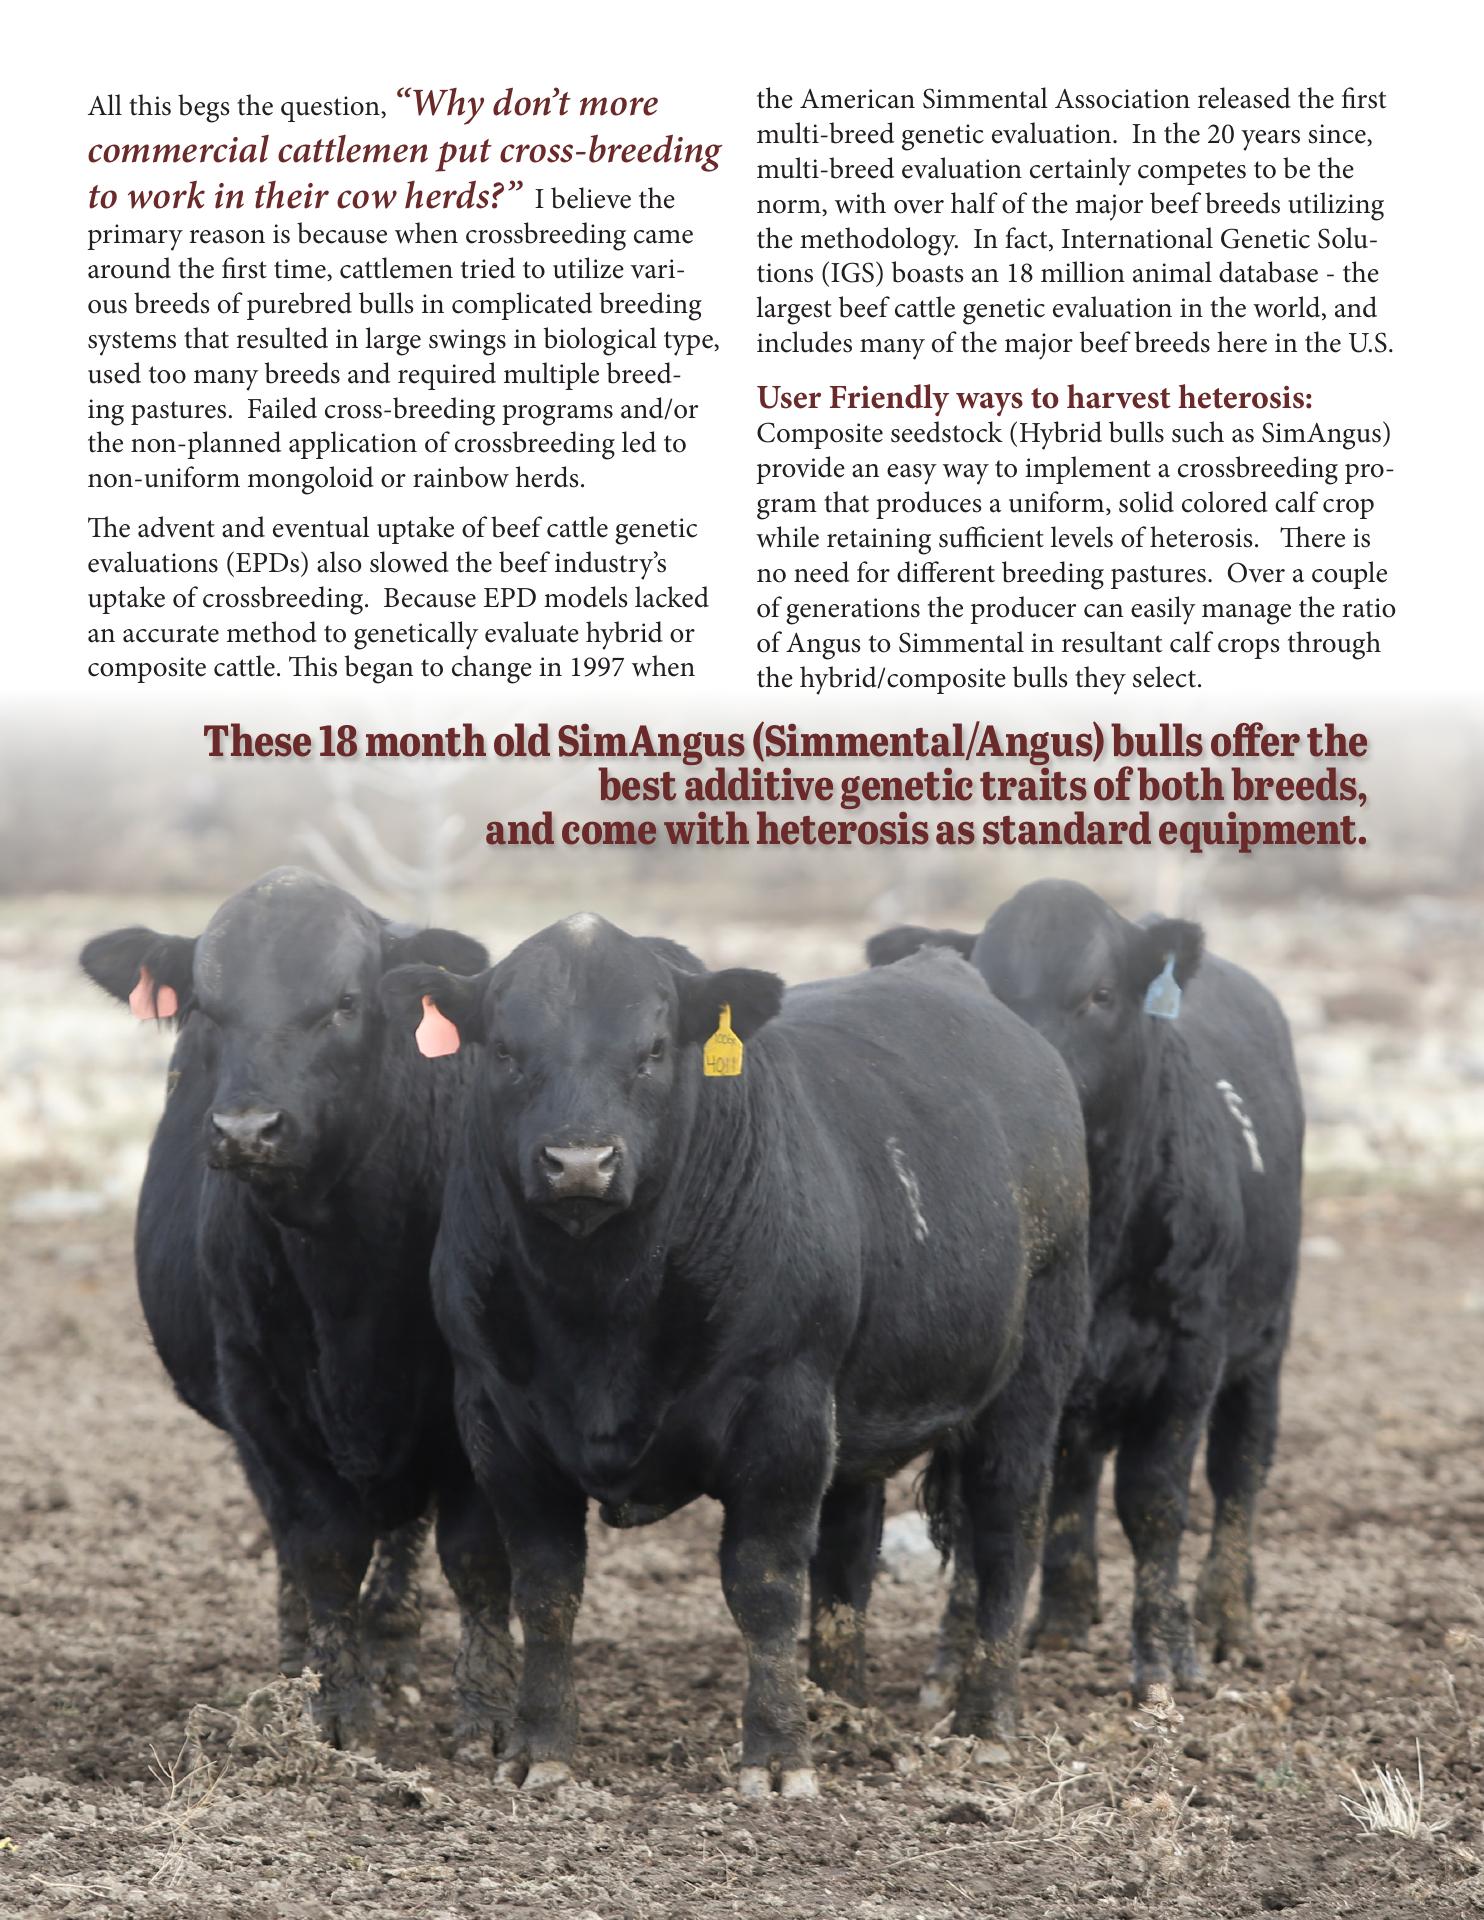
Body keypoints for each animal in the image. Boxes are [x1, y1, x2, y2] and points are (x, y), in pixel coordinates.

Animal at [80, 868, 514, 1752]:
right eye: (206, 1006)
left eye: (345, 1001)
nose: (248, 1129)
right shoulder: (256, 1392)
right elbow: (322, 1548)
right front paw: (332, 1709)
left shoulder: (474, 1393)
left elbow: (475, 1553)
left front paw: (486, 1718)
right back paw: (300, 1656)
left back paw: (394, 1640)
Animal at [381, 912, 1089, 1796]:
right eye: (505, 1050)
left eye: (653, 1048)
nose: (579, 1161)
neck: (600, 1311)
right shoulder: (497, 1419)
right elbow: (545, 1586)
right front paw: (539, 1746)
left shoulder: (781, 1410)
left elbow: (764, 1584)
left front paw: (778, 1756)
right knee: (848, 1555)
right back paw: (840, 1707)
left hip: (1031, 1374)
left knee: (1005, 1533)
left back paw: (985, 1720)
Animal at [867, 879, 1304, 1701]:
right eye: (991, 991)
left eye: (1100, 994)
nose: (1039, 1090)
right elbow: (989, 1506)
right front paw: (956, 1654)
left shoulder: (1191, 1354)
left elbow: (1155, 1500)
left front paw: (1164, 1657)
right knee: (1073, 1473)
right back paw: (1066, 1616)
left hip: (1263, 1344)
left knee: (1240, 1467)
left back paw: (1226, 1617)